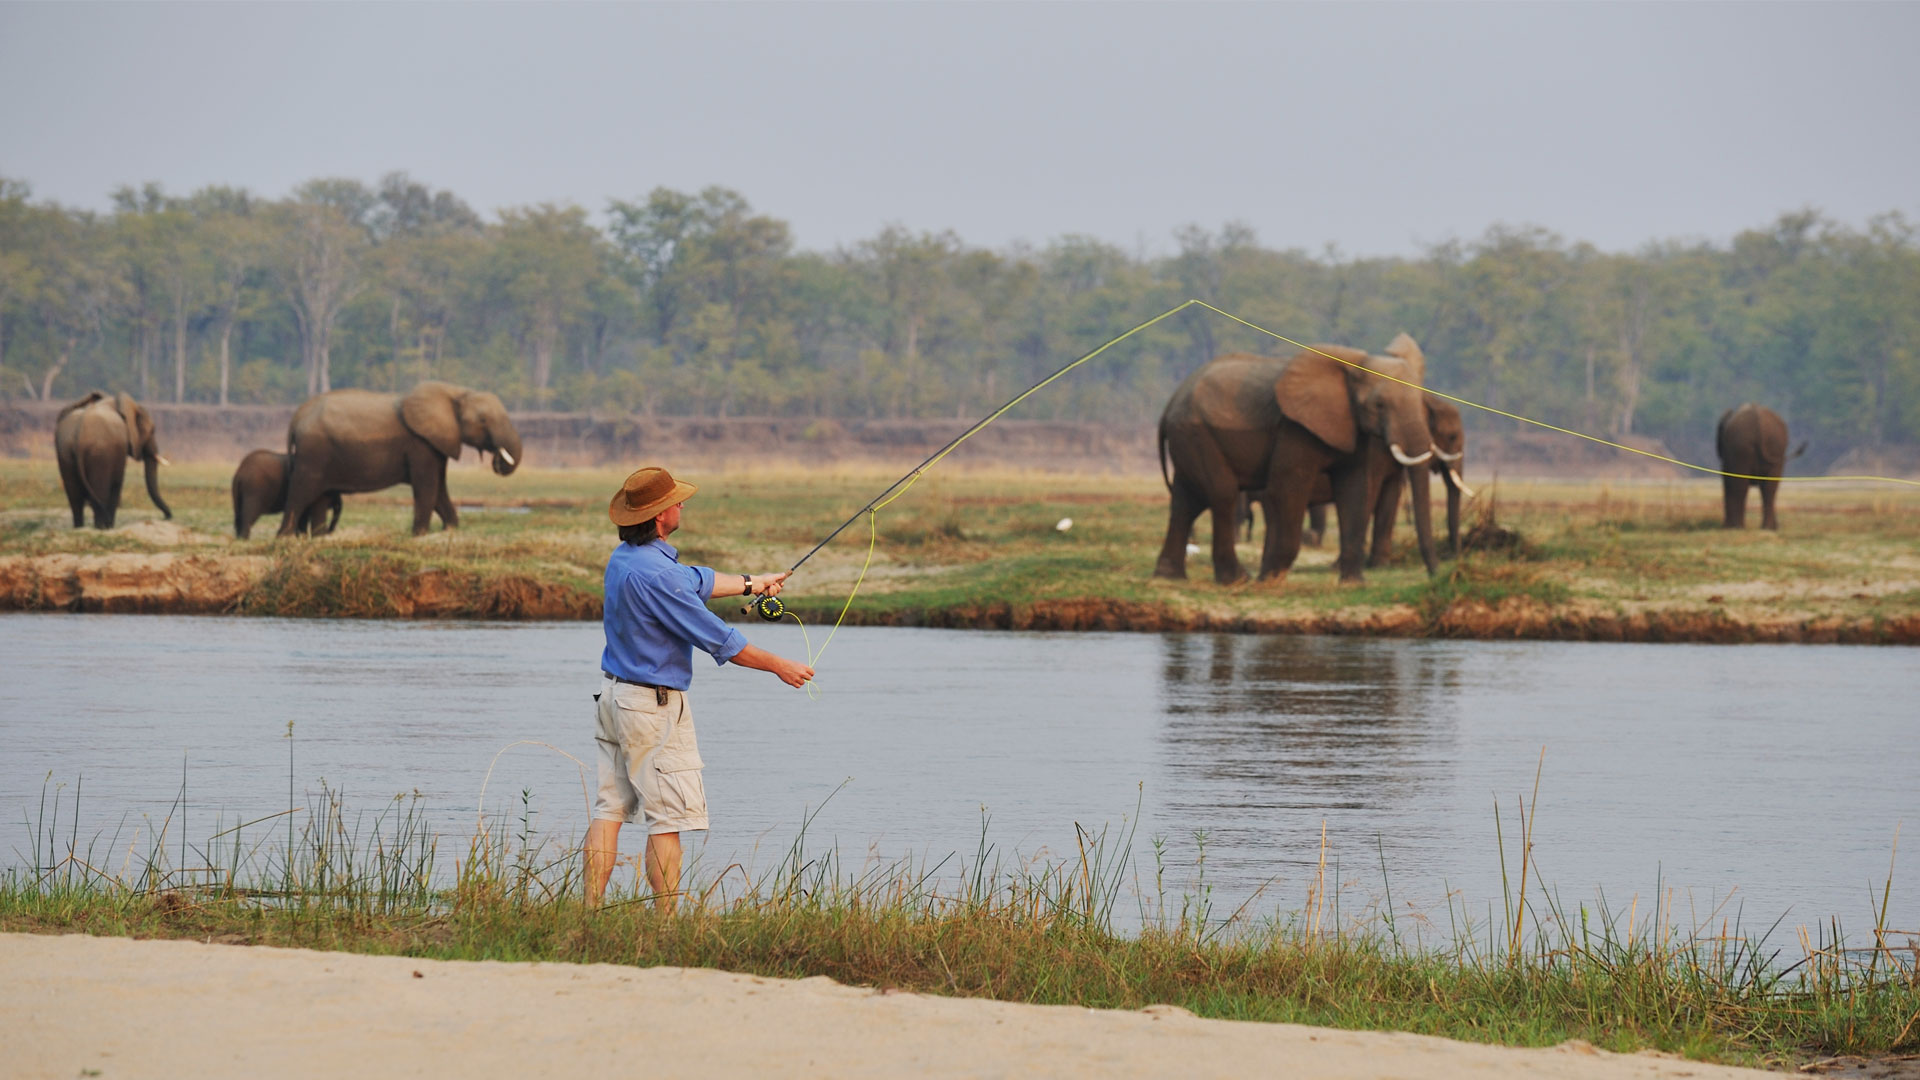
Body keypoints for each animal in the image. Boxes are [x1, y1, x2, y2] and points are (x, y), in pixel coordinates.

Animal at [52, 388, 171, 526]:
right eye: (152, 430)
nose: (166, 517)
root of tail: (78, 433)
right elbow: (117, 484)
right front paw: (109, 525)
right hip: (100, 454)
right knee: (101, 492)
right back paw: (102, 526)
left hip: (65, 452)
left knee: (75, 497)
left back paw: (80, 527)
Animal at [274, 378, 522, 534]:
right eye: (483, 421)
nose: (497, 460)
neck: (456, 392)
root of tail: (297, 417)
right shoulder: (420, 443)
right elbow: (428, 485)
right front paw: (420, 534)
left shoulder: (436, 441)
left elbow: (439, 486)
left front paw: (450, 528)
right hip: (313, 453)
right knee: (301, 491)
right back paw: (285, 536)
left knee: (320, 496)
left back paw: (318, 537)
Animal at [1152, 336, 1443, 588]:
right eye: (1379, 405)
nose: (1434, 575)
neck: (1354, 365)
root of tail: (1169, 405)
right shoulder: (1294, 428)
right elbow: (1289, 488)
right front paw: (1269, 580)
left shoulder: (1352, 426)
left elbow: (1355, 489)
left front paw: (1353, 583)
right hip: (1196, 433)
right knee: (1222, 494)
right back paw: (1237, 580)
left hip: (1188, 438)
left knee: (1186, 501)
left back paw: (1169, 577)